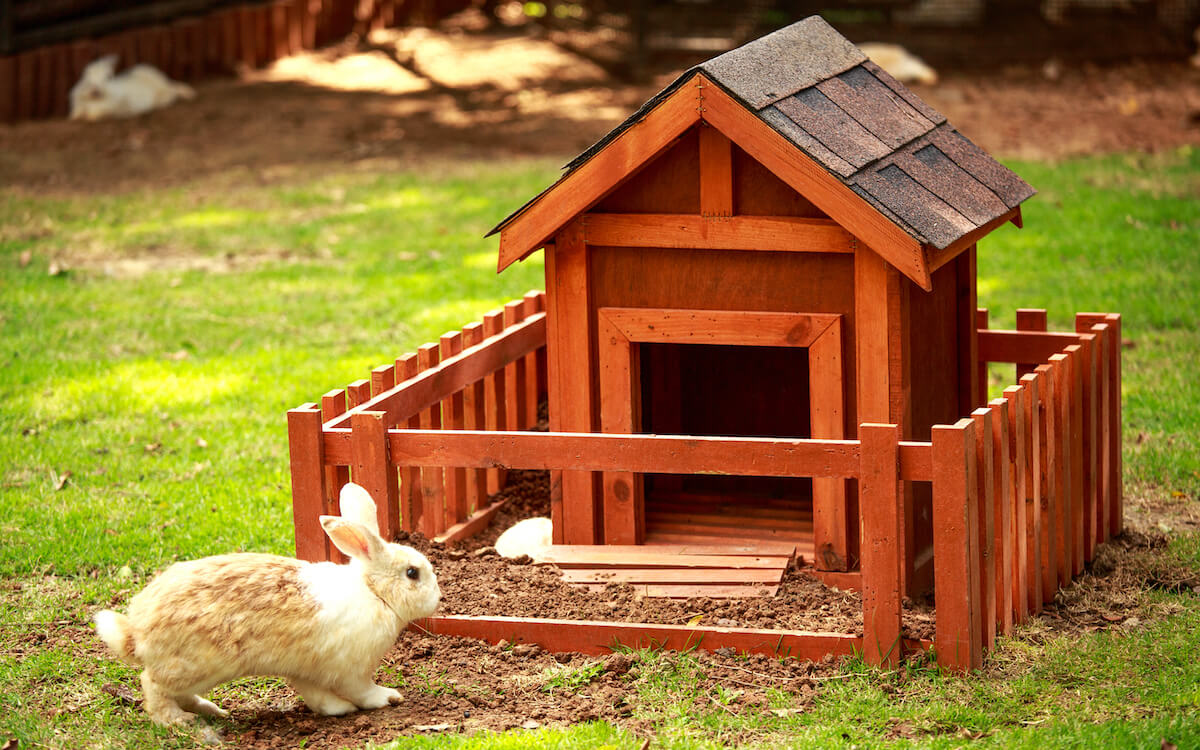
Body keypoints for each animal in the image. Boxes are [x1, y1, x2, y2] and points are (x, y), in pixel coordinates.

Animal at [92, 482, 441, 724]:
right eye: (412, 573)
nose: (438, 598)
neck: (373, 592)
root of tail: (135, 634)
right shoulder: (350, 669)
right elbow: (362, 690)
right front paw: (388, 698)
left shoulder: (305, 670)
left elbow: (318, 697)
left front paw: (337, 709)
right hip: (193, 666)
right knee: (152, 685)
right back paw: (179, 721)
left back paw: (214, 711)